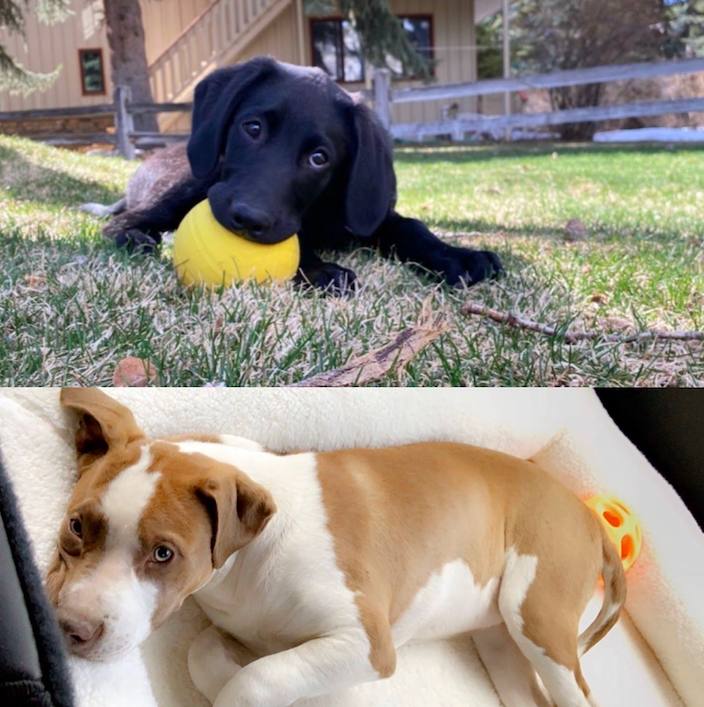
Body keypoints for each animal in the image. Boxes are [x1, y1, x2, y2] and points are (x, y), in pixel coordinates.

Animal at [46, 390, 624, 707]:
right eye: (76, 525)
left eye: (164, 554)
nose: (71, 629)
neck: (251, 559)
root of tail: (589, 518)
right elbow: (208, 653)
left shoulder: (366, 644)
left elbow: (257, 679)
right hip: (503, 642)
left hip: (537, 614)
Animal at [93, 55, 504, 294]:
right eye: (253, 128)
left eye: (319, 158)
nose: (248, 219)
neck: (320, 210)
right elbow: (298, 241)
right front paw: (319, 268)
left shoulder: (374, 216)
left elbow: (411, 227)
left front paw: (456, 255)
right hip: (197, 179)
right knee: (129, 219)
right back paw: (136, 237)